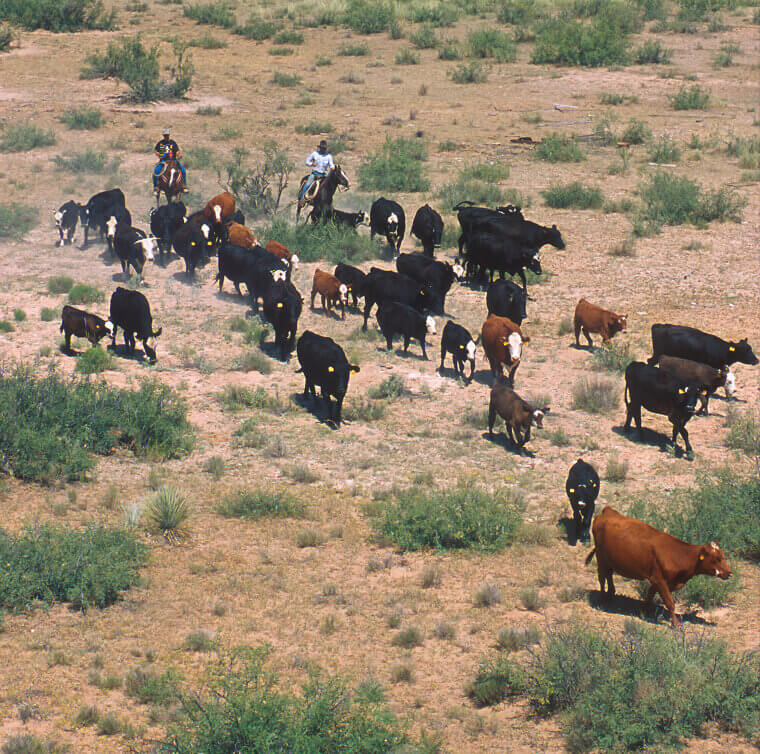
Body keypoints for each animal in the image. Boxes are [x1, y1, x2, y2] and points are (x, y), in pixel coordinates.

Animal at [586, 507, 731, 627]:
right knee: (602, 578)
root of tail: (608, 510)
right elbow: (670, 603)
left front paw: (643, 611)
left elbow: (650, 595)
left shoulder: (657, 580)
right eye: (716, 559)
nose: (730, 573)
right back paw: (603, 600)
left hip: (609, 560)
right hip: (600, 558)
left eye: (723, 556)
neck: (679, 555)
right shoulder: (659, 579)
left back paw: (611, 594)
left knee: (609, 575)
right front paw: (676, 625)